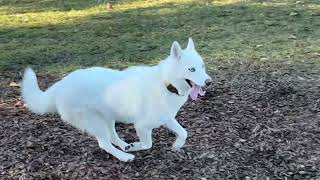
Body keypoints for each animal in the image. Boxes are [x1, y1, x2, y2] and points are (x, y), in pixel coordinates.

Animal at [22, 38, 212, 162]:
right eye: (192, 69)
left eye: (202, 66)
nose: (209, 82)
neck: (166, 83)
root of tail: (60, 85)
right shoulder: (142, 126)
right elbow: (147, 144)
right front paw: (136, 146)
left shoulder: (166, 118)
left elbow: (184, 132)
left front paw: (177, 145)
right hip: (96, 122)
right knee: (104, 144)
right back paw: (125, 156)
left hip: (108, 117)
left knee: (112, 137)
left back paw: (124, 145)